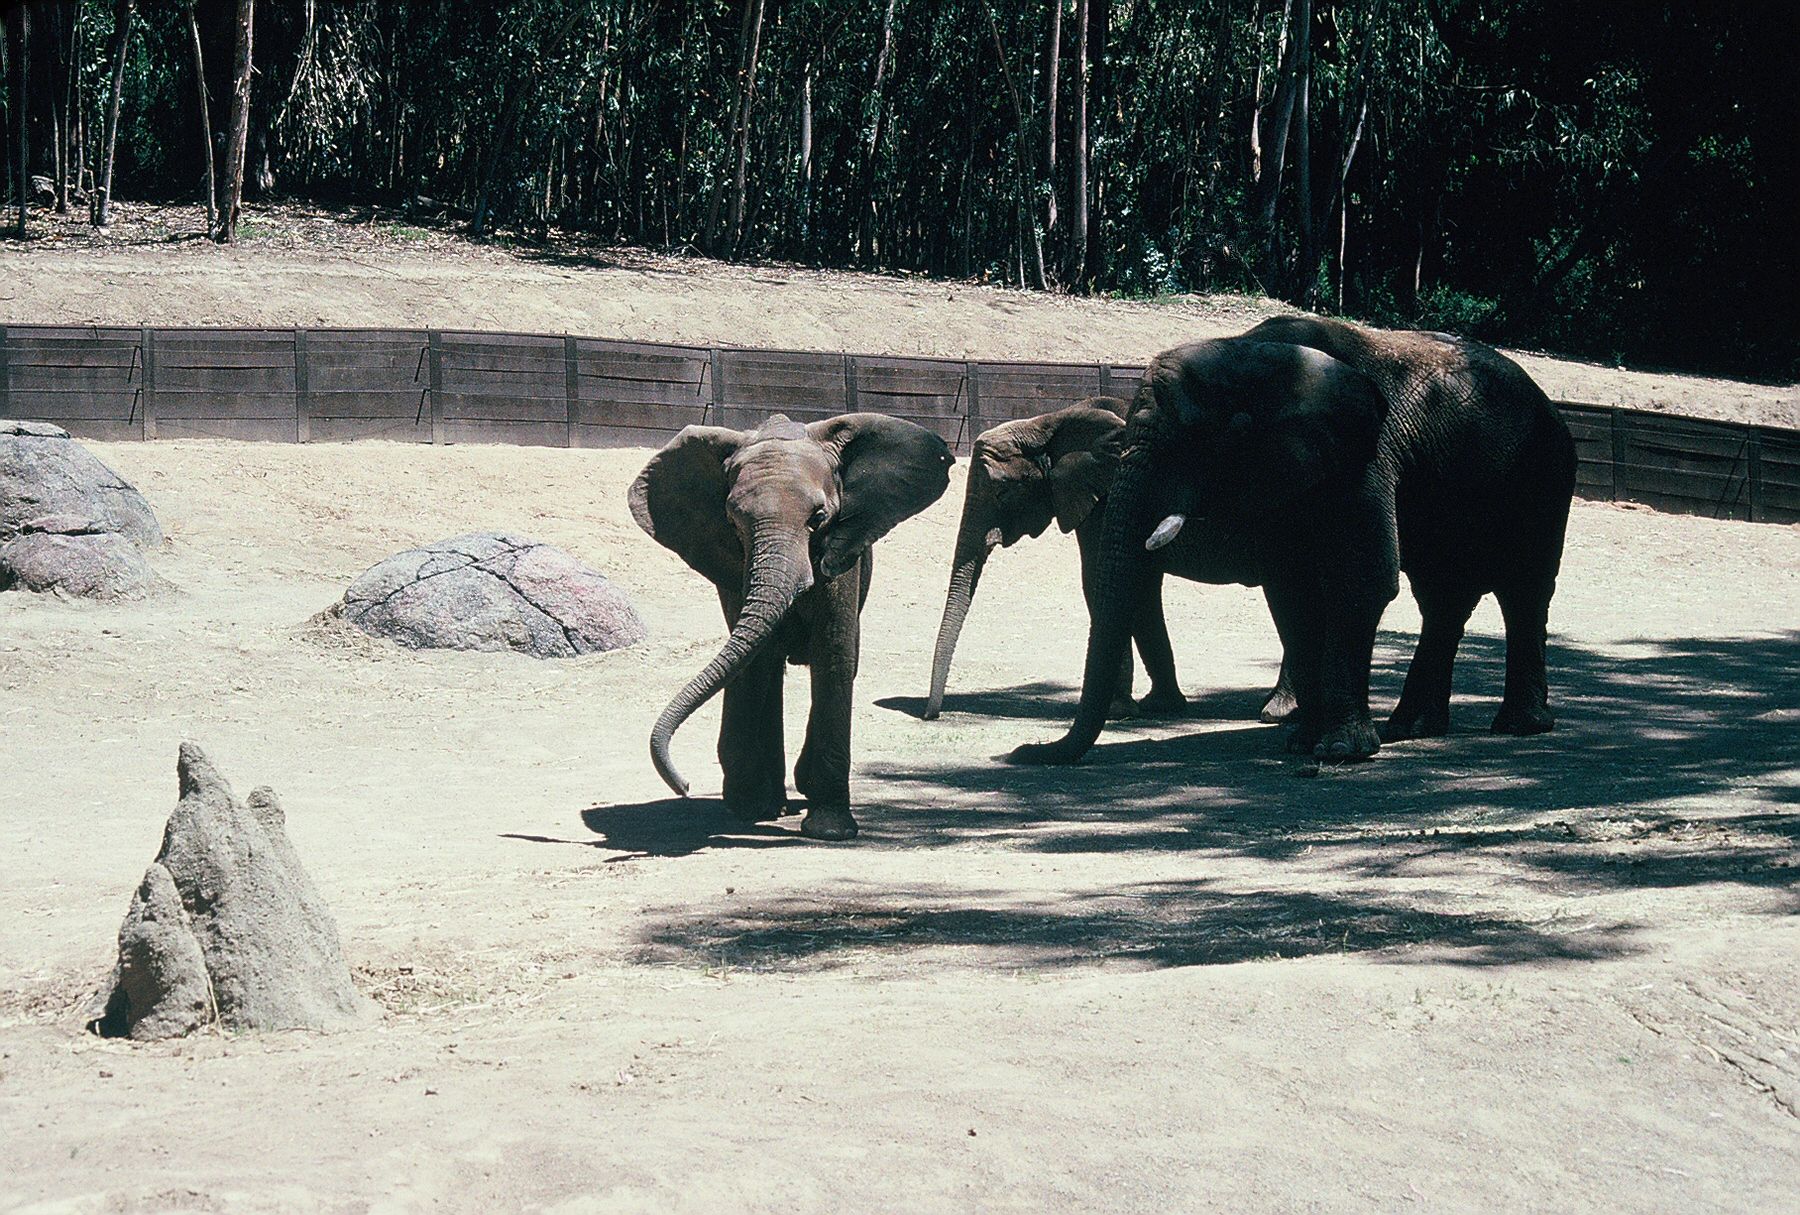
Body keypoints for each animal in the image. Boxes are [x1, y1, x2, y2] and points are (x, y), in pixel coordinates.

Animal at [630, 414, 950, 842]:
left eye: (819, 518)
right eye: (733, 522)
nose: (684, 786)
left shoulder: (841, 552)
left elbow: (833, 652)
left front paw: (830, 831)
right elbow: (755, 660)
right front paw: (752, 809)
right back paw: (768, 804)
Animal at [928, 396, 1296, 723]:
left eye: (1003, 492)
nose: (932, 715)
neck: (1050, 424)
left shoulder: (1106, 503)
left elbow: (1099, 584)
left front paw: (1116, 711)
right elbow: (1140, 593)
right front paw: (1160, 707)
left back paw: (1276, 712)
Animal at [1015, 316, 1576, 770]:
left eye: (1188, 443)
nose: (1024, 751)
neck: (1254, 358)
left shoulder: (1367, 456)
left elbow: (1362, 578)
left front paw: (1341, 752)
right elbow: (1290, 591)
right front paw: (1303, 745)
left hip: (1544, 471)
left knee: (1523, 589)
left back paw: (1518, 727)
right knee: (1443, 596)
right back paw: (1413, 729)